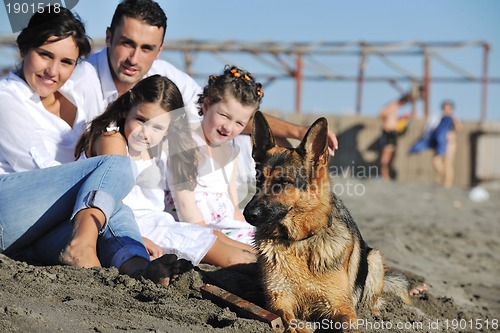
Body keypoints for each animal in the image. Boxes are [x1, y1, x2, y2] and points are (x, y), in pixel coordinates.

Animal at [242, 112, 410, 332]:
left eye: (284, 182)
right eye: (259, 180)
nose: (247, 214)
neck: (299, 242)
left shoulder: (340, 306)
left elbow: (349, 324)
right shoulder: (279, 301)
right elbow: (291, 321)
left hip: (374, 259)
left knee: (372, 301)